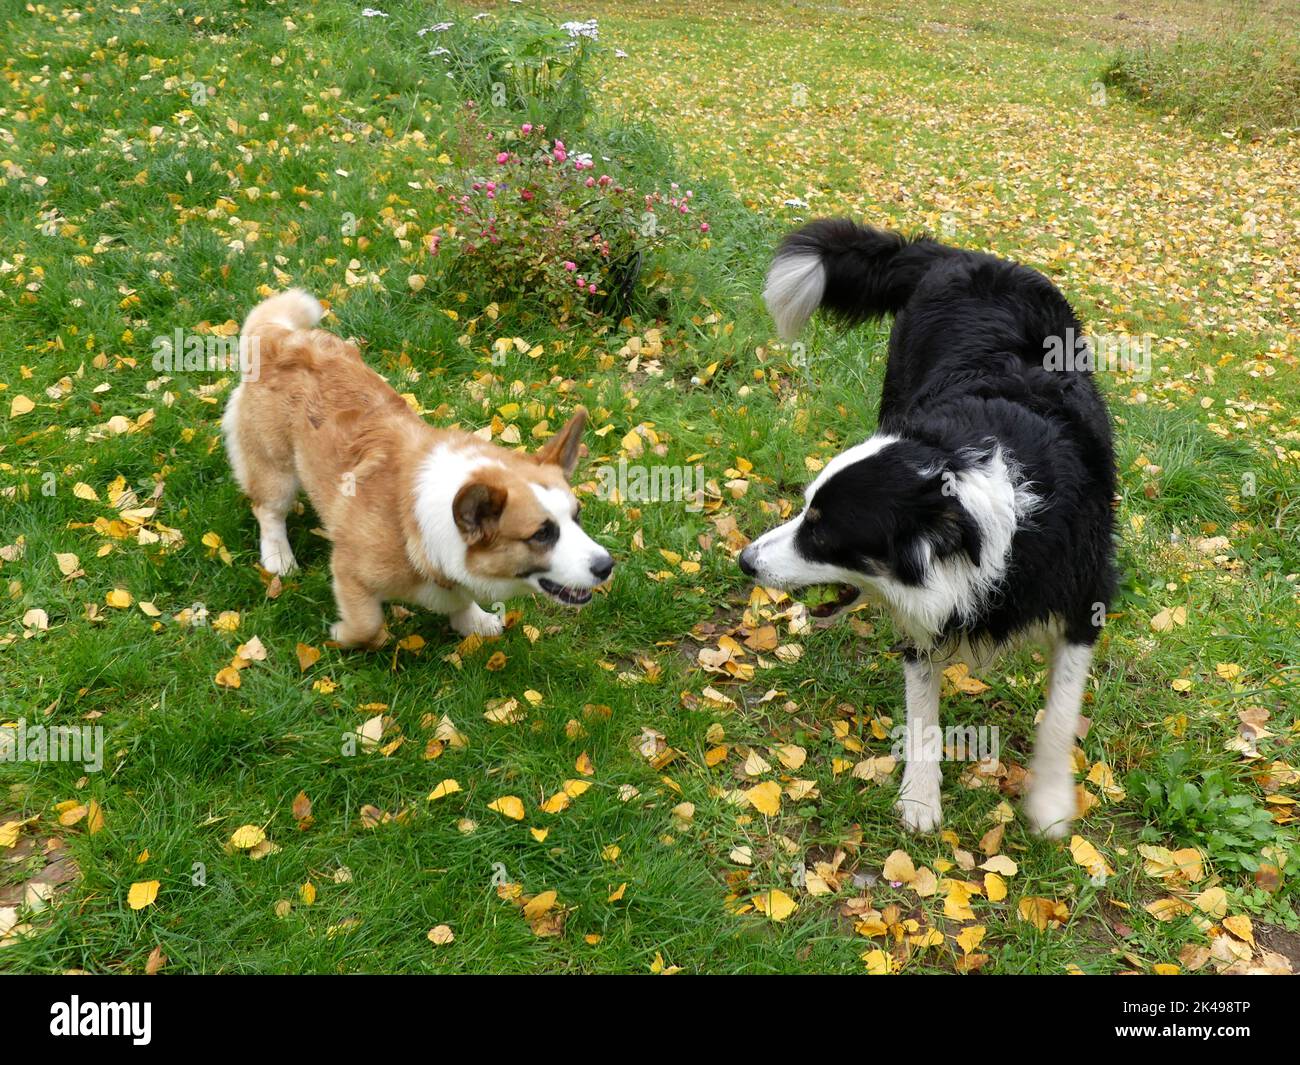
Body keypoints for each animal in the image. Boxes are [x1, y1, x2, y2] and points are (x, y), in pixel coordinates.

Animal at [219, 287, 613, 644]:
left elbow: (460, 600)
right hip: (277, 471)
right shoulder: (350, 572)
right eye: (541, 534)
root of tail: (280, 337)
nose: (607, 566)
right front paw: (343, 634)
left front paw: (472, 620)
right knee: (269, 510)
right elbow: (367, 625)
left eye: (576, 517)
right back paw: (279, 558)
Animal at [743, 218, 1118, 842]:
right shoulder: (925, 611)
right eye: (804, 509)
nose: (745, 561)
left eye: (821, 531)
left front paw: (1050, 803)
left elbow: (1061, 711)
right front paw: (920, 800)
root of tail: (959, 254)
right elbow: (922, 706)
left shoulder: (1085, 592)